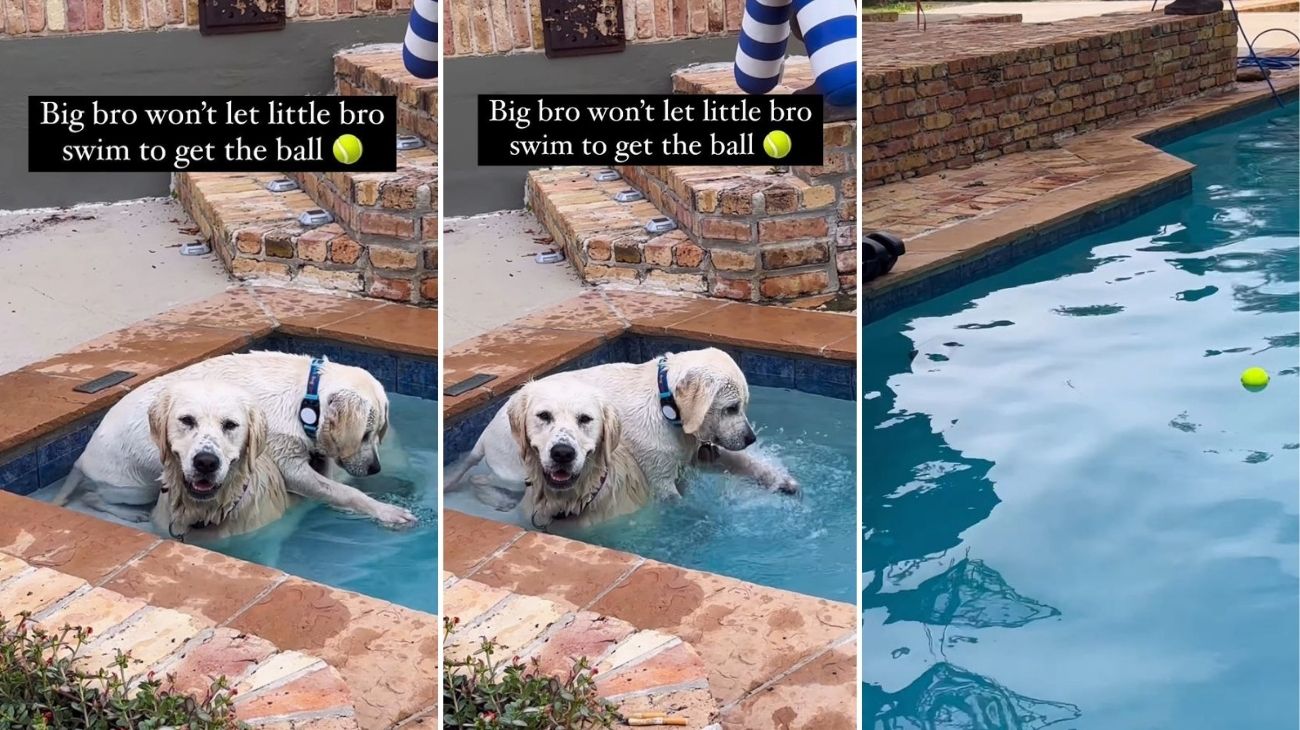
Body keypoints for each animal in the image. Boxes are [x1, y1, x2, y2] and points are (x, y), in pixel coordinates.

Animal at [53, 350, 410, 524]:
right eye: (365, 435)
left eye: (377, 434)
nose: (376, 468)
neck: (307, 400)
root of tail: (81, 457)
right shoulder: (288, 464)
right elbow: (343, 492)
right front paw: (386, 511)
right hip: (135, 485)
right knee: (93, 497)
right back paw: (129, 513)